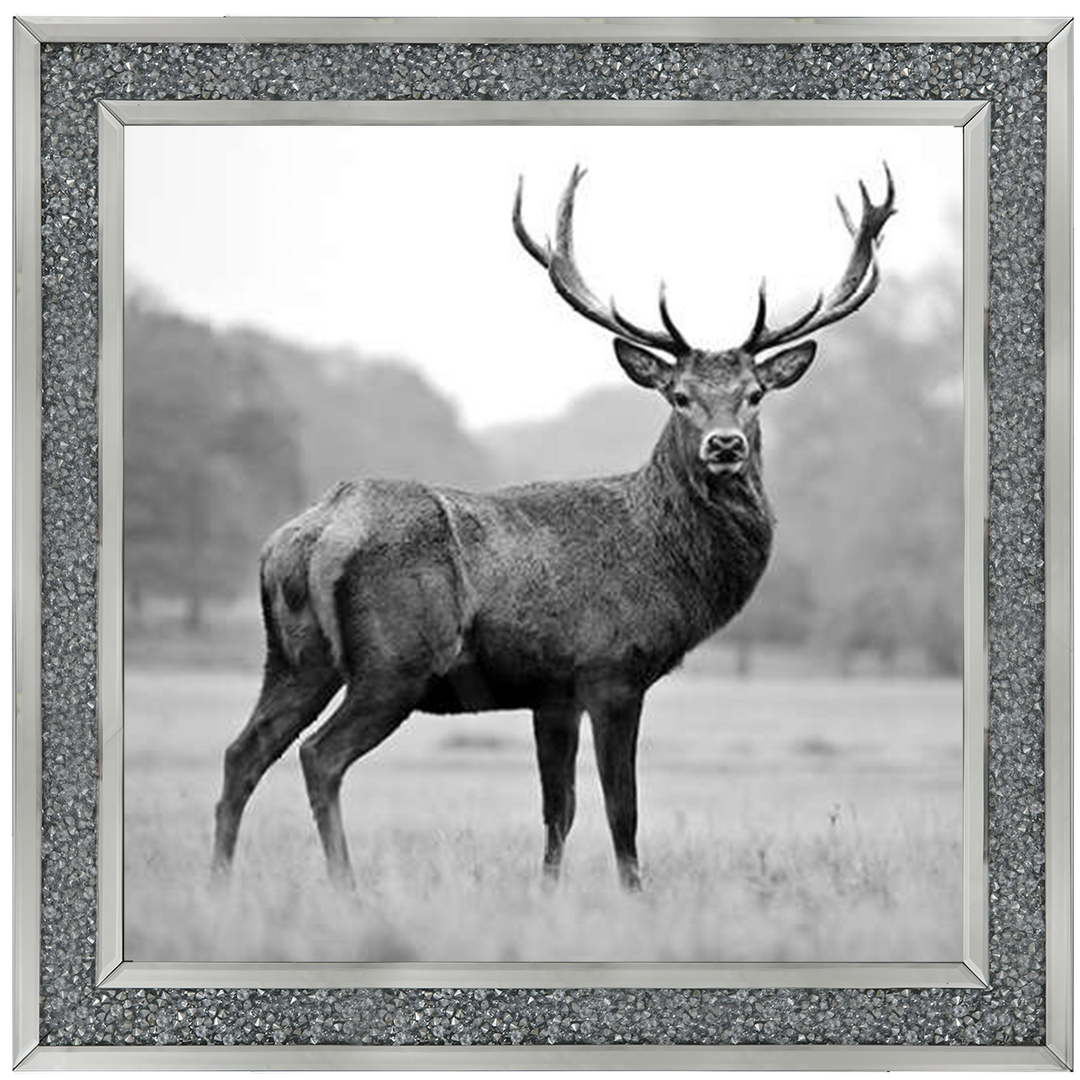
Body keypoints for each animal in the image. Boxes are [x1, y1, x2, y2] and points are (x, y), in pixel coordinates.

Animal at [211, 164, 896, 892]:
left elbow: (557, 809)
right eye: (678, 395)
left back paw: (219, 881)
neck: (667, 563)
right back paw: (346, 888)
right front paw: (634, 895)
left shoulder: (552, 692)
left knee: (242, 752)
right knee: (319, 755)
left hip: (294, 656)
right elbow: (622, 807)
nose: (725, 445)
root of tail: (312, 533)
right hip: (395, 661)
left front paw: (547, 893)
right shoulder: (612, 669)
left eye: (755, 394)